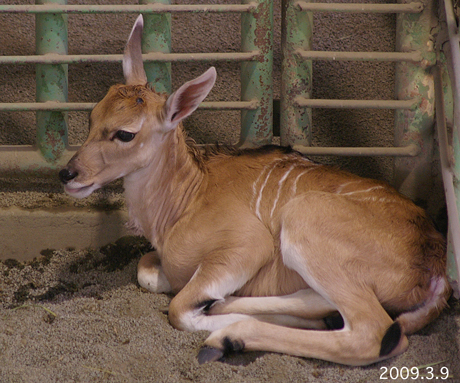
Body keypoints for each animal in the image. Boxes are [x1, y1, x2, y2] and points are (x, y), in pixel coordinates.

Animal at [59, 16, 452, 368]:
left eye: (125, 133)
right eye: (92, 116)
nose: (68, 173)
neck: (185, 201)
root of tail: (437, 268)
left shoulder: (247, 245)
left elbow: (179, 309)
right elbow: (146, 271)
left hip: (305, 219)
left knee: (374, 332)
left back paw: (228, 337)